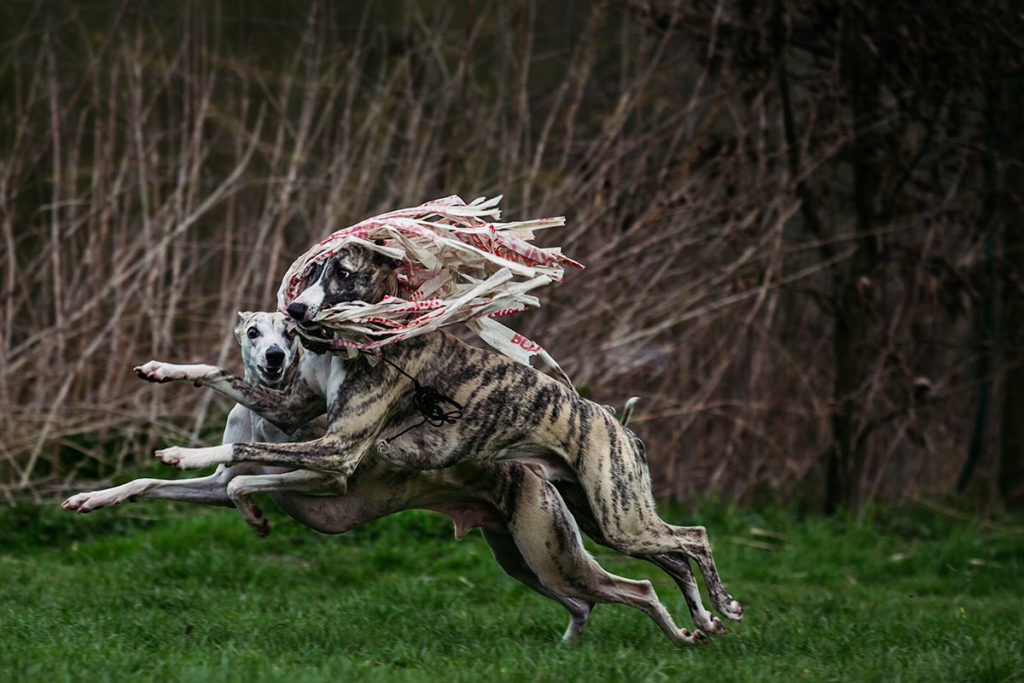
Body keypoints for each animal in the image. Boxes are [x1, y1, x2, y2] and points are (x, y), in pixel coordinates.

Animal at [68, 313, 724, 643]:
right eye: (255, 333)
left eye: (289, 336)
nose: (276, 360)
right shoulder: (245, 461)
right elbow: (166, 483)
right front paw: (92, 495)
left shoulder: (326, 473)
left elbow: (242, 479)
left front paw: (198, 466)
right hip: (535, 552)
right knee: (609, 591)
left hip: (572, 542)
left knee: (655, 573)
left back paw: (698, 624)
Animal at [138, 244, 745, 626]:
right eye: (310, 275)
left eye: (342, 274)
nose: (295, 309)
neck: (367, 342)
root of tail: (616, 423)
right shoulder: (292, 407)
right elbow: (220, 376)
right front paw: (163, 370)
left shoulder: (337, 449)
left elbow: (244, 452)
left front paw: (183, 453)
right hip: (601, 517)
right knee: (671, 558)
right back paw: (703, 619)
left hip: (614, 520)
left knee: (694, 538)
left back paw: (724, 605)